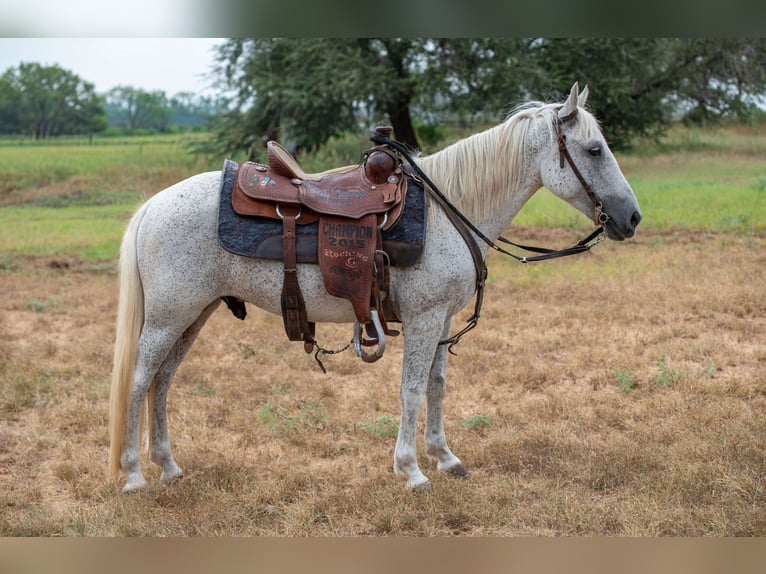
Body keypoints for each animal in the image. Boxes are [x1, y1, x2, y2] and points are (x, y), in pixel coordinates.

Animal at [108, 83, 642, 493]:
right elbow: (411, 390)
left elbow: (437, 385)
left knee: (163, 381)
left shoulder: (442, 319)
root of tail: (153, 205)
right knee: (138, 380)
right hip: (168, 317)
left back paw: (169, 466)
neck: (450, 211)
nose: (632, 217)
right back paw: (134, 476)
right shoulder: (424, 319)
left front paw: (445, 457)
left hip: (193, 316)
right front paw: (411, 471)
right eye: (594, 150)